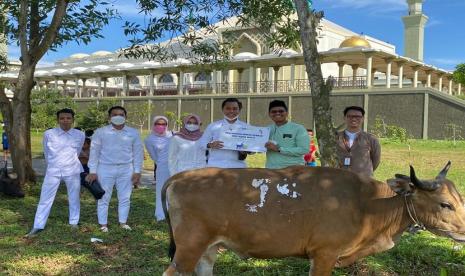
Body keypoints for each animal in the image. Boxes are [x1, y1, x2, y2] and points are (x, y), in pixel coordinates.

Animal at [161, 162, 464, 276]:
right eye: (445, 204)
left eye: (460, 200)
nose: (464, 231)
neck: (366, 204)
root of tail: (181, 176)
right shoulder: (324, 254)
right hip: (189, 247)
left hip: (209, 248)